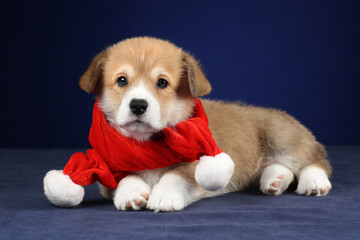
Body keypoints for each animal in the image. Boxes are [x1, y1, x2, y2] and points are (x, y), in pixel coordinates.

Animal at [79, 36, 332, 211]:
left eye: (162, 83)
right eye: (122, 80)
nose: (138, 105)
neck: (146, 145)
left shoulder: (199, 161)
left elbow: (176, 175)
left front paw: (163, 196)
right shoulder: (109, 168)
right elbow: (125, 177)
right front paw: (131, 193)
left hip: (283, 139)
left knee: (314, 161)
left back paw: (314, 182)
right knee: (280, 168)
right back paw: (275, 180)